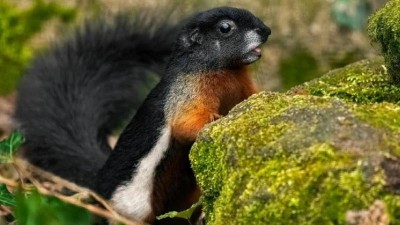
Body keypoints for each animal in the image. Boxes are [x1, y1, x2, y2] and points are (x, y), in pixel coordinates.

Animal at [15, 6, 272, 224]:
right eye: (225, 28)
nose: (267, 31)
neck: (227, 70)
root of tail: (98, 183)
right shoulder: (186, 92)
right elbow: (185, 123)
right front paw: (214, 120)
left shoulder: (243, 87)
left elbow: (254, 96)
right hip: (133, 205)